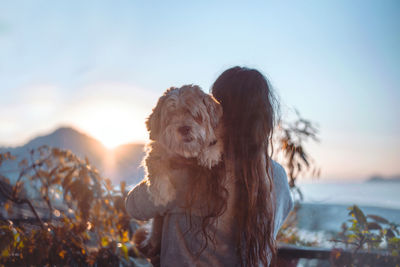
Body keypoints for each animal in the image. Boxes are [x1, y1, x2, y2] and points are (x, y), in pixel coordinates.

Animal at [134, 85, 222, 262]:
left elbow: (217, 142)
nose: (184, 128)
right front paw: (163, 193)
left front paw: (209, 153)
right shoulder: (155, 152)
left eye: (196, 115)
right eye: (171, 115)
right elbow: (156, 165)